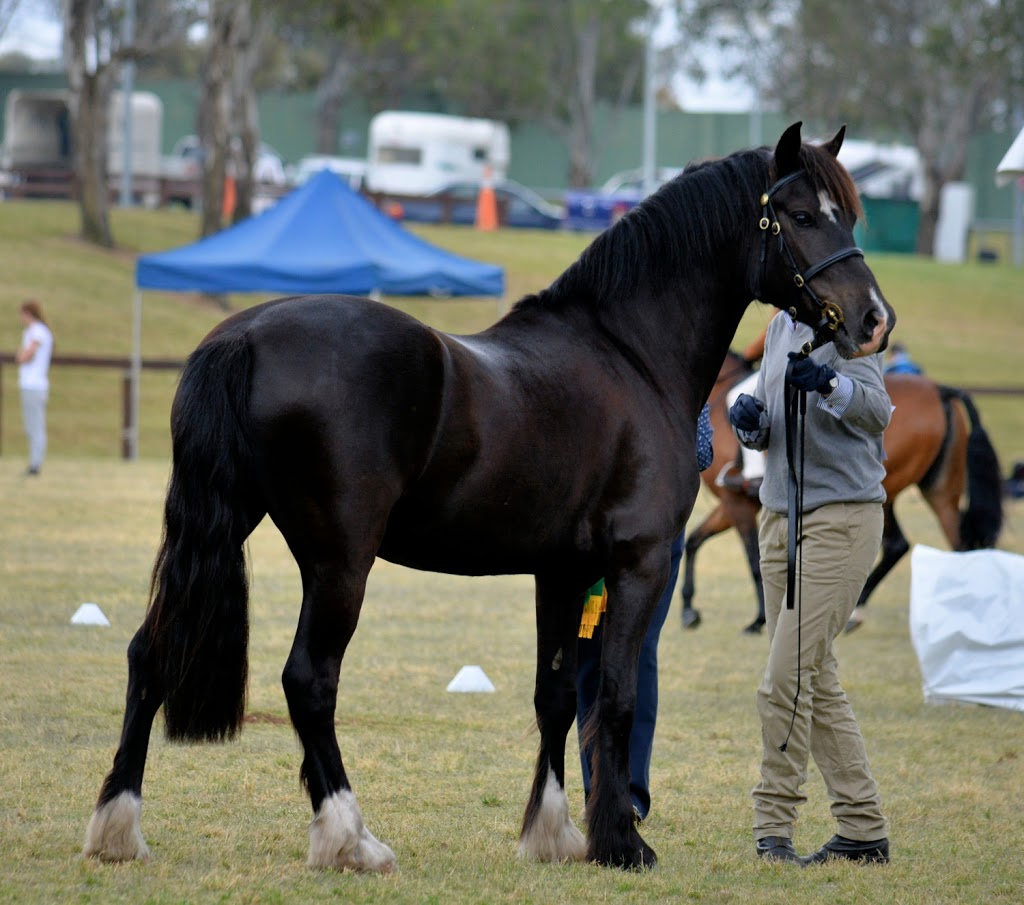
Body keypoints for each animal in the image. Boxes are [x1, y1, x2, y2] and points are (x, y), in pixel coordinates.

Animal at [83, 123, 892, 872]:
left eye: (848, 213)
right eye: (802, 214)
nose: (873, 319)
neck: (628, 354)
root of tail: (246, 334)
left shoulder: (561, 571)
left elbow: (557, 696)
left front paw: (553, 833)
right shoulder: (636, 563)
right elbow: (617, 698)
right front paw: (622, 843)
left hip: (223, 526)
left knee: (151, 653)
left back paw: (118, 826)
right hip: (339, 561)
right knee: (309, 681)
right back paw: (351, 838)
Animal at [684, 350, 1003, 634]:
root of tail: (940, 390)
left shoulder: (736, 502)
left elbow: (751, 560)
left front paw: (758, 621)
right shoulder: (733, 503)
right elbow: (694, 540)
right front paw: (689, 611)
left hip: (884, 491)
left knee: (900, 544)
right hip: (938, 493)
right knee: (951, 546)